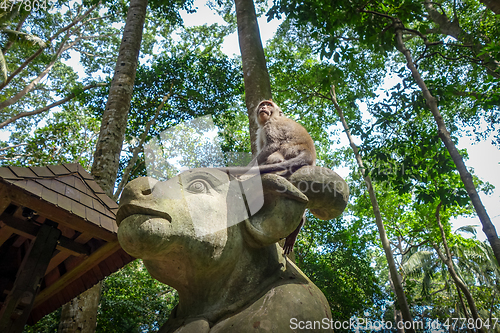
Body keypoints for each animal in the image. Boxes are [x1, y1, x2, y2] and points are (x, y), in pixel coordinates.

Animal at [220, 100, 314, 253]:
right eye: (263, 105)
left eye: (269, 105)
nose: (263, 107)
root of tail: (308, 151)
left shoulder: (271, 125)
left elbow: (272, 145)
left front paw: (245, 170)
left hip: (290, 149)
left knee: (276, 156)